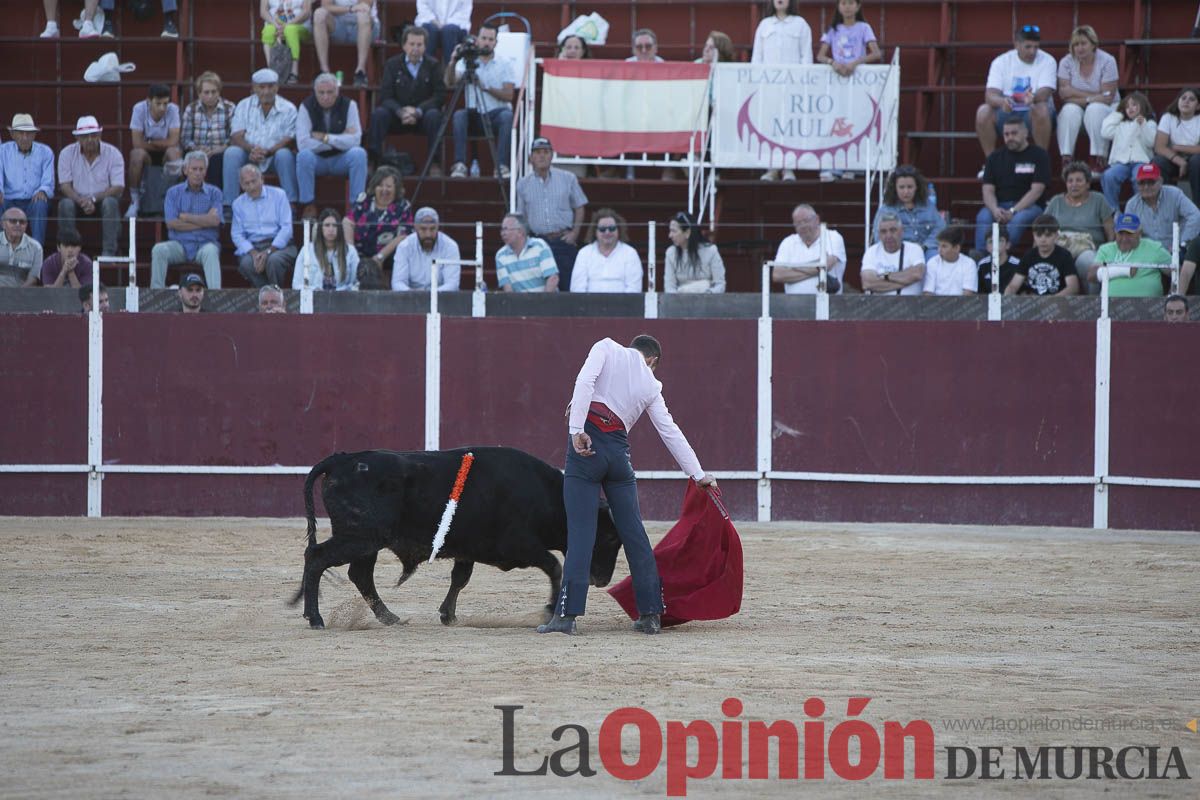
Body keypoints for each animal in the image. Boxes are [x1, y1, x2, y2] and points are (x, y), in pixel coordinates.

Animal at [294, 448, 624, 628]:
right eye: (609, 538)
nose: (601, 580)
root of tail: (342, 460)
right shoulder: (520, 546)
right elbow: (554, 565)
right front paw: (550, 608)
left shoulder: (468, 550)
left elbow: (460, 579)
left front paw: (447, 615)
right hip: (360, 537)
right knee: (318, 558)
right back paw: (316, 618)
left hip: (367, 542)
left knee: (359, 574)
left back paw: (389, 617)